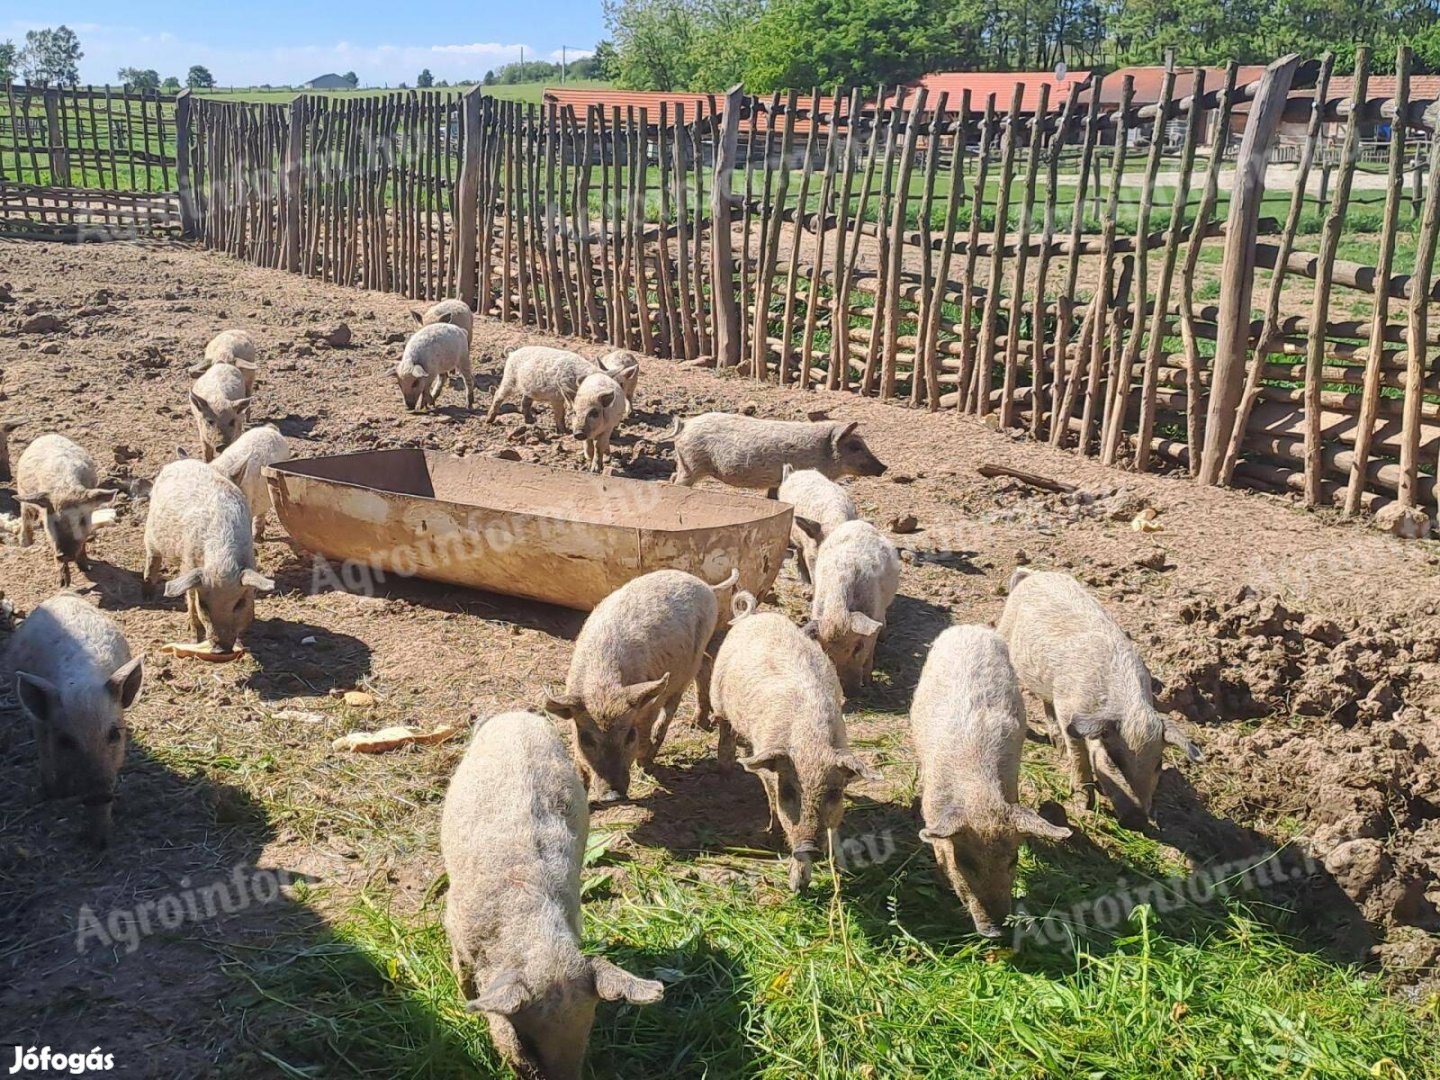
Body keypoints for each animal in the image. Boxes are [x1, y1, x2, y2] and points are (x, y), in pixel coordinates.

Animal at [437, 711, 662, 1080]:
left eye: (587, 1033)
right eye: (524, 1039)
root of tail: (517, 714)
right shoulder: (455, 925)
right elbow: (463, 974)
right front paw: (462, 999)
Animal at [708, 613, 875, 892]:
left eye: (835, 793)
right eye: (788, 791)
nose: (810, 847)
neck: (810, 744)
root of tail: (759, 615)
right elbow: (773, 800)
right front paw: (796, 885)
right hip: (718, 698)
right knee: (725, 731)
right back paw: (725, 772)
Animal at [990, 567, 1203, 829]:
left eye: (1157, 764)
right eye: (1114, 761)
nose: (1139, 821)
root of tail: (1032, 574)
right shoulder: (1068, 711)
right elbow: (1079, 754)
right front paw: (1083, 803)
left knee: (1046, 703)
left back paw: (1056, 744)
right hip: (1006, 635)